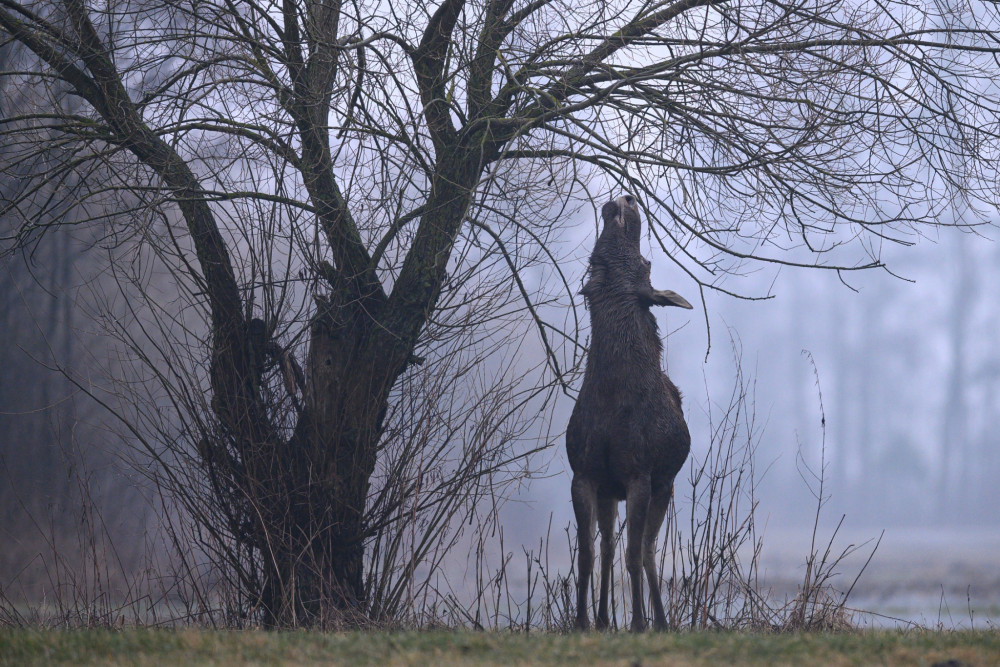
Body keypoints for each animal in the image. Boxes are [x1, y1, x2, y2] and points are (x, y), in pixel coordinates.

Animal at [568, 196, 692, 636]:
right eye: (595, 263)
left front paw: (638, 621)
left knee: (649, 548)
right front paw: (581, 621)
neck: (610, 397)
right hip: (611, 489)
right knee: (607, 545)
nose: (624, 199)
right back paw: (606, 618)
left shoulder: (640, 474)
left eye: (643, 263)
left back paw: (660, 620)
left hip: (664, 484)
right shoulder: (584, 473)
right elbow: (587, 553)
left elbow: (634, 551)